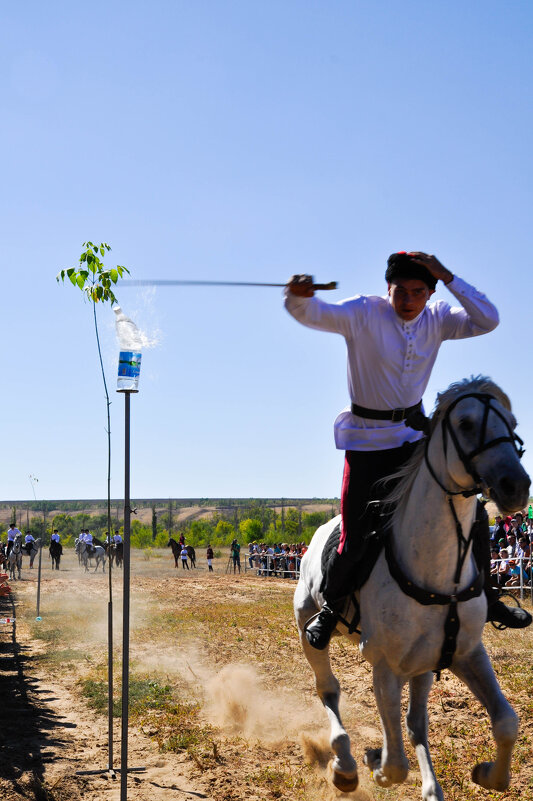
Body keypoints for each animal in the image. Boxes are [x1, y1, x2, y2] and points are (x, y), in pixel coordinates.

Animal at [294, 376, 528, 800]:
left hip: (423, 665)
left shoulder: (466, 653)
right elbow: (394, 764)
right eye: (466, 424)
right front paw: (374, 763)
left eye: (512, 421)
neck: (437, 571)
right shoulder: (385, 667)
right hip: (309, 632)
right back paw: (345, 764)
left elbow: (506, 721)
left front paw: (487, 774)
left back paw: (430, 787)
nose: (516, 485)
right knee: (329, 689)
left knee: (415, 722)